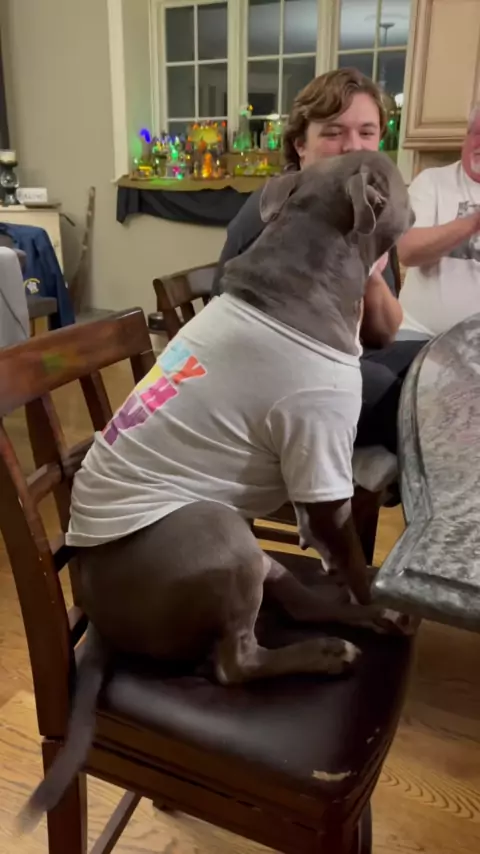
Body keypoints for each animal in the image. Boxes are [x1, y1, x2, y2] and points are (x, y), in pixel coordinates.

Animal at [21, 151, 415, 826]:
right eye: (399, 180)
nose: (414, 200)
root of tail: (95, 621)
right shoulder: (321, 465)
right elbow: (353, 563)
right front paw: (368, 597)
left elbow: (337, 562)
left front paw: (359, 596)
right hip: (217, 529)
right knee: (235, 663)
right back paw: (328, 652)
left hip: (249, 555)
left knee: (294, 603)